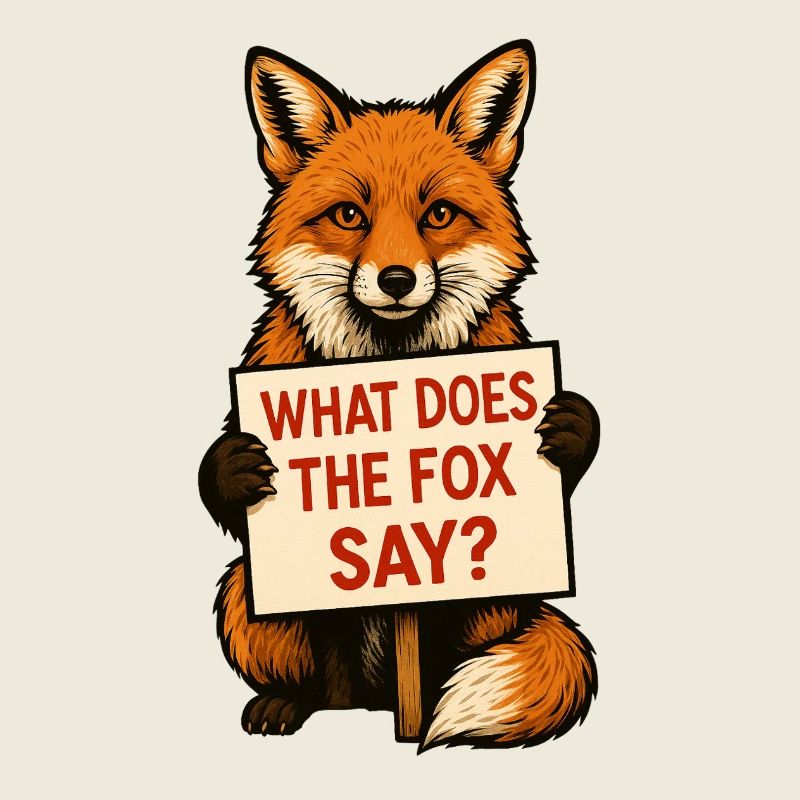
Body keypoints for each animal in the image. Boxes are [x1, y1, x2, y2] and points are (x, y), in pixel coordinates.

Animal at [199, 40, 600, 750]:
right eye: (349, 216)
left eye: (437, 214)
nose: (394, 279)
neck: (390, 365)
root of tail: (372, 700)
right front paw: (237, 464)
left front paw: (569, 428)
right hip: (246, 592)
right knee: (319, 683)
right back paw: (290, 704)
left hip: (489, 599)